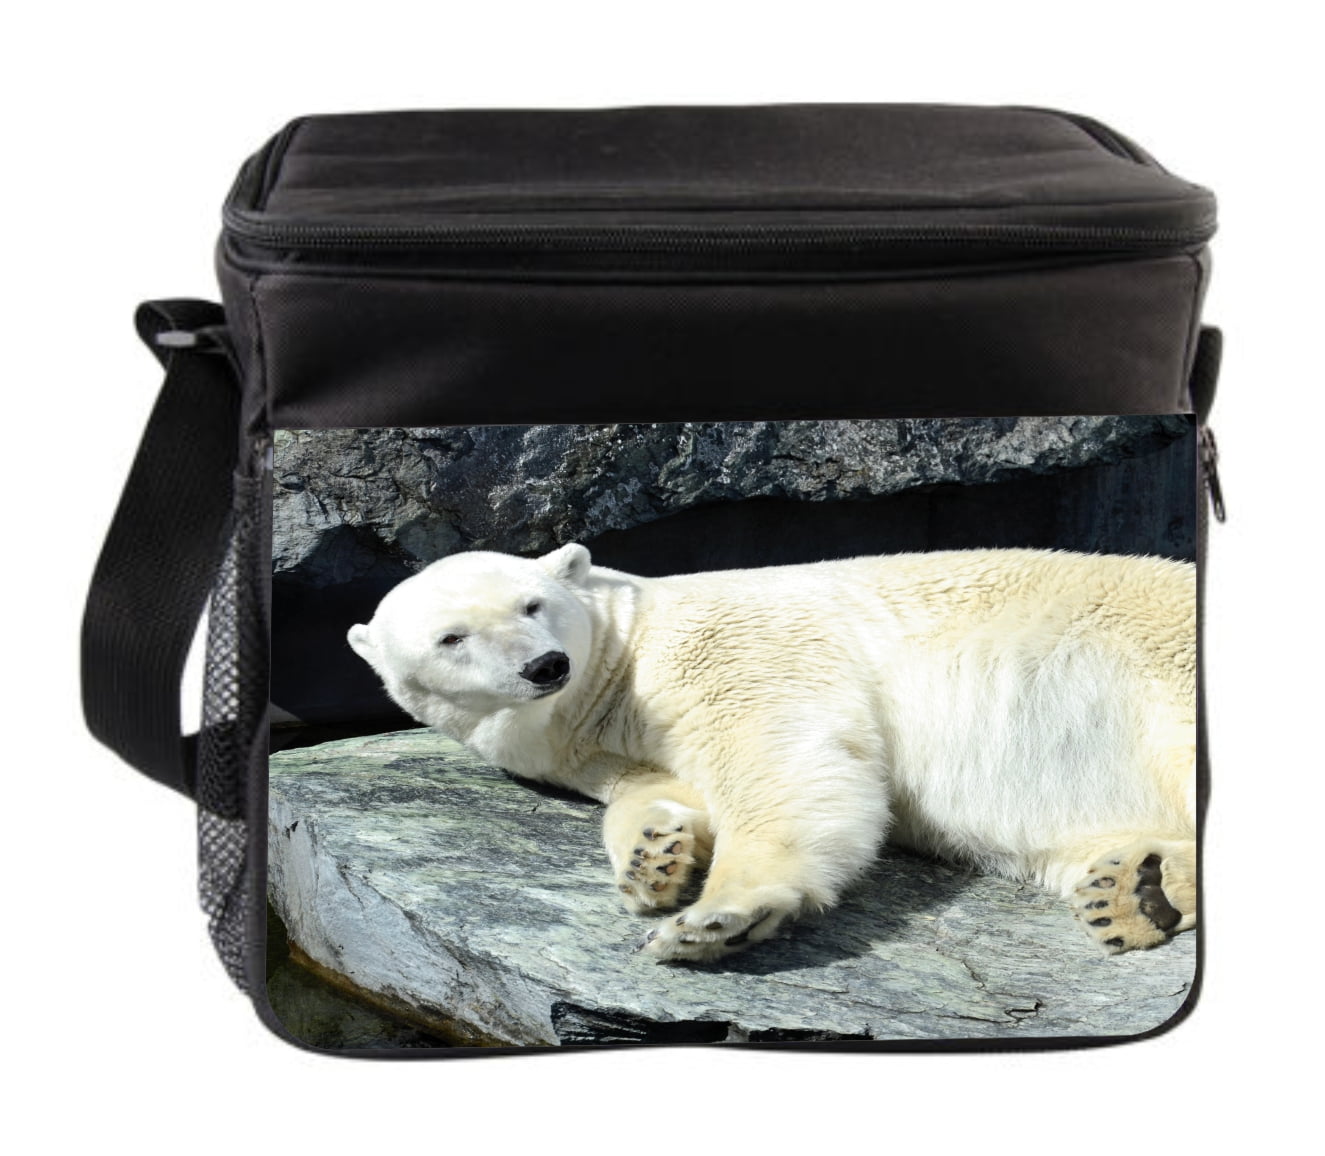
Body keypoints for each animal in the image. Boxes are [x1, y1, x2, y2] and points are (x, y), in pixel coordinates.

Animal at [347, 544, 1197, 963]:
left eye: (532, 604)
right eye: (450, 638)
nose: (544, 666)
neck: (620, 660)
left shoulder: (729, 645)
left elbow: (776, 749)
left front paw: (712, 920)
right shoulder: (591, 744)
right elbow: (652, 787)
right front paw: (654, 860)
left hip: (1164, 670)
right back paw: (1130, 890)